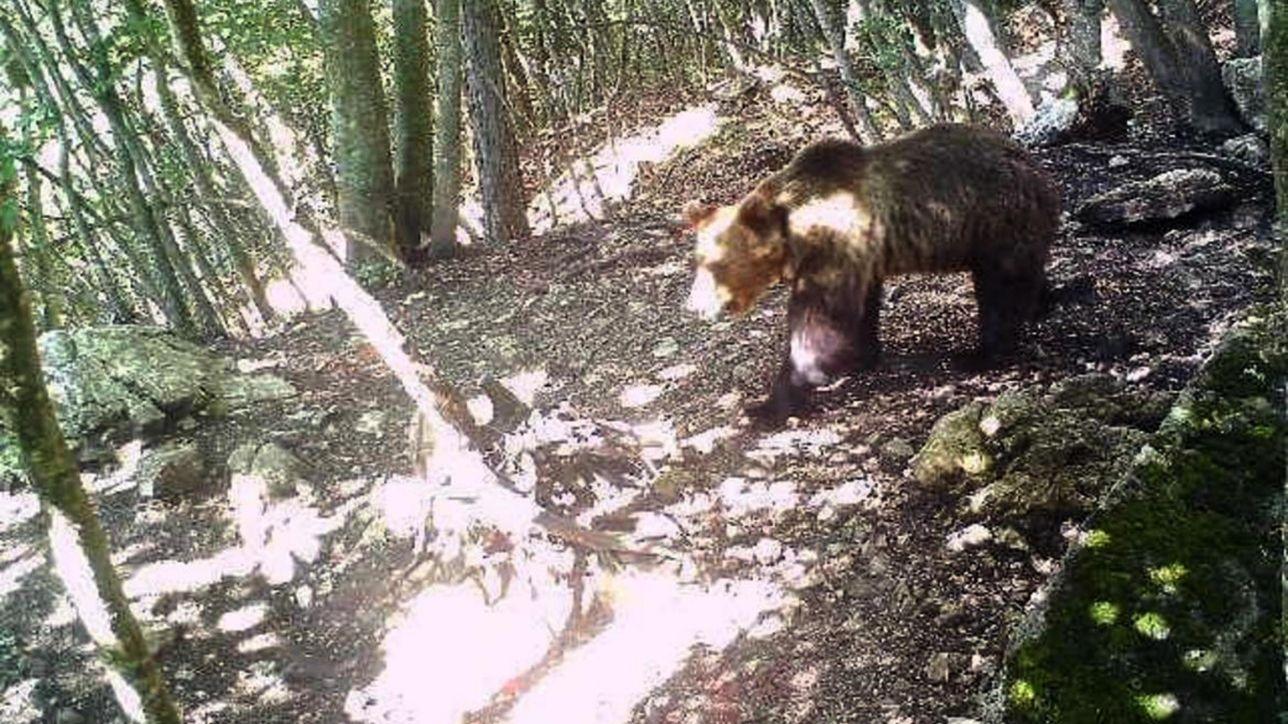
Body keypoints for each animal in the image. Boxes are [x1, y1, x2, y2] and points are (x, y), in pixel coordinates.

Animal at [690, 122, 1061, 417]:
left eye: (716, 263)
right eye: (697, 259)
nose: (694, 306)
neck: (795, 232)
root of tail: (1036, 167)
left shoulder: (833, 244)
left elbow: (819, 319)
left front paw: (771, 403)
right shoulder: (859, 256)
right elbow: (859, 308)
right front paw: (859, 355)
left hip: (995, 220)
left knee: (1002, 289)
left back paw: (979, 353)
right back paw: (1046, 302)